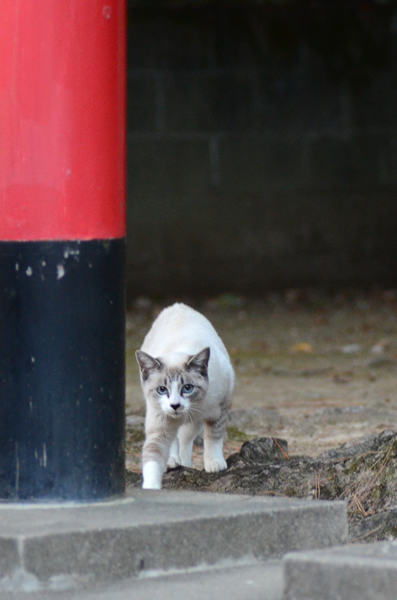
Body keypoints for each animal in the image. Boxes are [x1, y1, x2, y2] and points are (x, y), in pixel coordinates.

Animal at [136, 302, 235, 490]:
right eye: (162, 390)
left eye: (187, 388)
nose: (175, 405)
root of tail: (178, 306)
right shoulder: (159, 425)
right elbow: (152, 457)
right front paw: (152, 487)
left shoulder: (220, 408)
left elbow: (213, 437)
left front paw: (214, 463)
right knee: (176, 441)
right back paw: (173, 461)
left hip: (197, 422)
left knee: (186, 438)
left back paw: (185, 462)